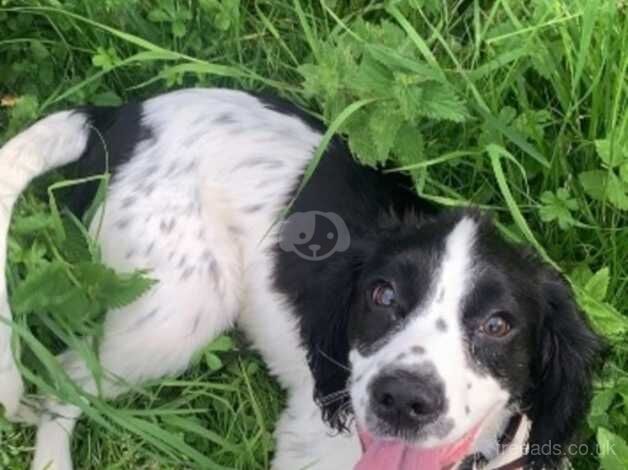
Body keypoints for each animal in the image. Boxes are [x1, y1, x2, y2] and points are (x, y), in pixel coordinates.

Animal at [0, 89, 604, 470]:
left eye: (498, 325)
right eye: (382, 294)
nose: (402, 399)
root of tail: (119, 115)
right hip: (177, 314)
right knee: (64, 380)